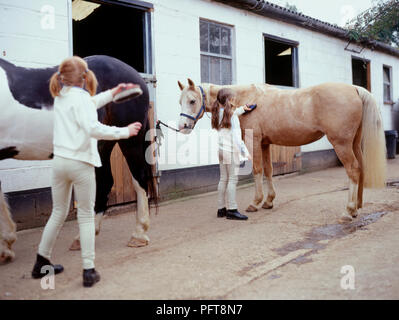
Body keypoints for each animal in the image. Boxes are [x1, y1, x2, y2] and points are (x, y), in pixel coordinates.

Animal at [0, 53, 159, 262]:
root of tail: (137, 77)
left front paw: (5, 245)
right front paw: (6, 244)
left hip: (130, 142)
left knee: (138, 178)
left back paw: (139, 234)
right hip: (102, 143)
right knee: (105, 182)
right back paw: (86, 236)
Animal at [177, 78, 388, 222]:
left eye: (192, 101)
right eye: (181, 101)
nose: (183, 126)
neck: (245, 97)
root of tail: (354, 88)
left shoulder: (254, 141)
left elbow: (257, 170)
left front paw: (255, 203)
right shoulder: (265, 144)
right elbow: (269, 171)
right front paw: (269, 201)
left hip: (341, 144)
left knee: (353, 169)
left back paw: (348, 211)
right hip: (354, 143)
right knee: (360, 168)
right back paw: (357, 207)